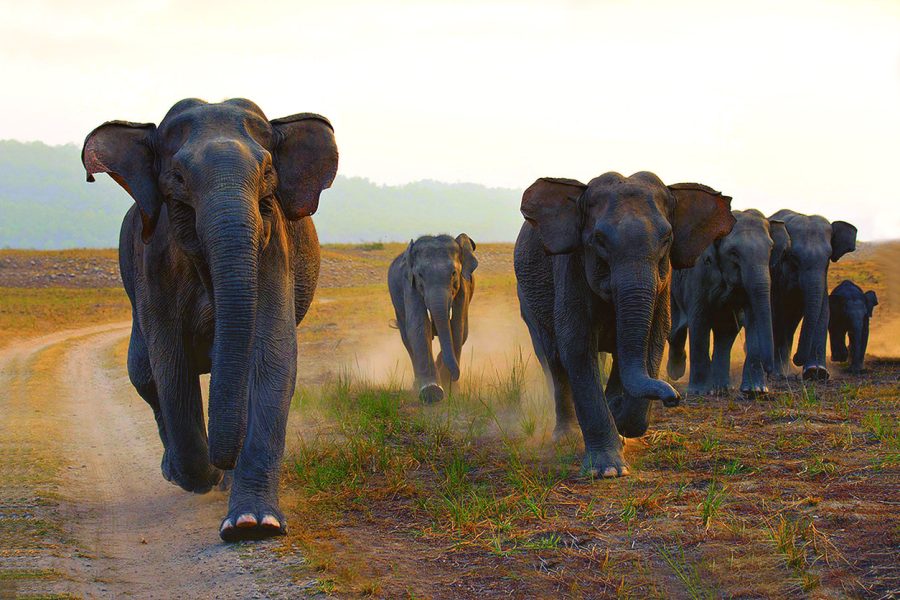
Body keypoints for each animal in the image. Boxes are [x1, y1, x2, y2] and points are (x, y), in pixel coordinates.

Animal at [80, 99, 338, 544]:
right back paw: (178, 472)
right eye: (179, 178)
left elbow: (270, 358)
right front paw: (203, 478)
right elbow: (171, 367)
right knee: (144, 375)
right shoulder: (155, 262)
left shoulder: (273, 250)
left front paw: (252, 525)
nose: (223, 464)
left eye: (267, 172)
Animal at [390, 234, 482, 404]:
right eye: (420, 275)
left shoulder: (463, 286)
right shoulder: (410, 285)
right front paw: (432, 392)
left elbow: (457, 326)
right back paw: (418, 385)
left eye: (453, 273)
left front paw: (451, 389)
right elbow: (419, 326)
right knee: (406, 338)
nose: (455, 376)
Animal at [512, 172, 740, 478]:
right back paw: (567, 436)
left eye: (667, 239)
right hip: (528, 302)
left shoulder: (663, 283)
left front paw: (619, 415)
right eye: (598, 240)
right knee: (554, 361)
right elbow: (577, 347)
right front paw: (608, 470)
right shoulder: (571, 267)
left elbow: (653, 340)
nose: (674, 397)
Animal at [668, 209, 788, 396]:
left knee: (726, 332)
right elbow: (699, 321)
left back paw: (721, 388)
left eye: (770, 249)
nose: (770, 372)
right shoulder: (699, 275)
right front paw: (699, 392)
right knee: (677, 329)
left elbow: (753, 317)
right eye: (733, 253)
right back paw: (677, 372)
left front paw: (755, 391)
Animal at [768, 210, 856, 380]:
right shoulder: (775, 274)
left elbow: (823, 312)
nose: (796, 358)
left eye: (828, 258)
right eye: (793, 257)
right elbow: (776, 312)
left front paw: (816, 372)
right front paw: (777, 373)